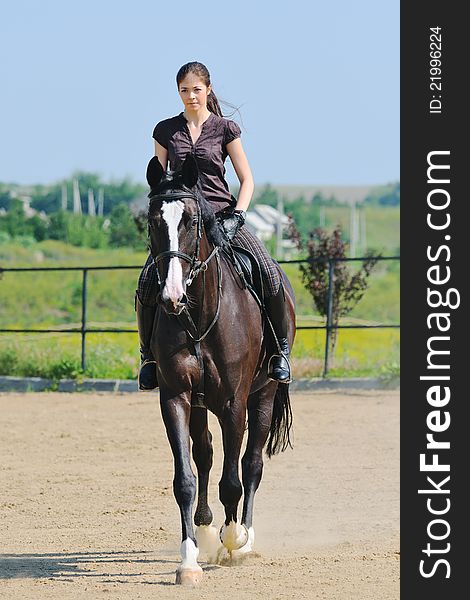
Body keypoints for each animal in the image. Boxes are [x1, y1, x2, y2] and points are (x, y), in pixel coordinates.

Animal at [145, 155, 296, 584]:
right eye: (152, 221)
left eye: (192, 220)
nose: (171, 296)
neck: (199, 316)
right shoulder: (175, 398)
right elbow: (185, 479)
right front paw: (189, 560)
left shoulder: (234, 404)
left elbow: (233, 480)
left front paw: (234, 539)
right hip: (199, 404)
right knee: (206, 454)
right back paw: (207, 528)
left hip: (263, 396)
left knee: (251, 465)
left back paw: (243, 537)